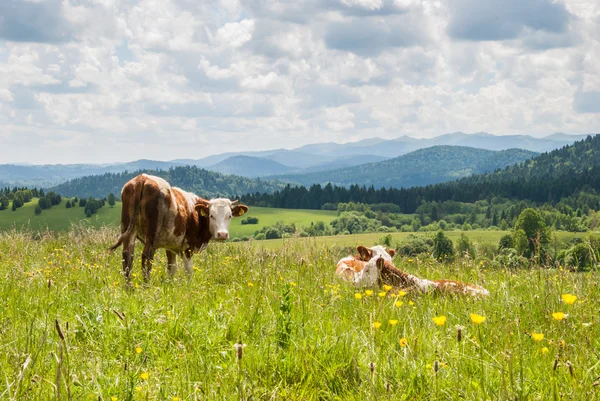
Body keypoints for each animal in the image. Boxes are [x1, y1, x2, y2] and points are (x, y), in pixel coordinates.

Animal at [109, 174, 247, 282]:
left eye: (229, 216)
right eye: (211, 215)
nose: (222, 234)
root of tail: (142, 178)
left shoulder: (170, 245)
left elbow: (172, 268)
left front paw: (169, 285)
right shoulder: (188, 247)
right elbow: (188, 269)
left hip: (128, 228)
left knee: (127, 256)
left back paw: (129, 287)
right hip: (152, 235)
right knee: (146, 258)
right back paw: (146, 286)